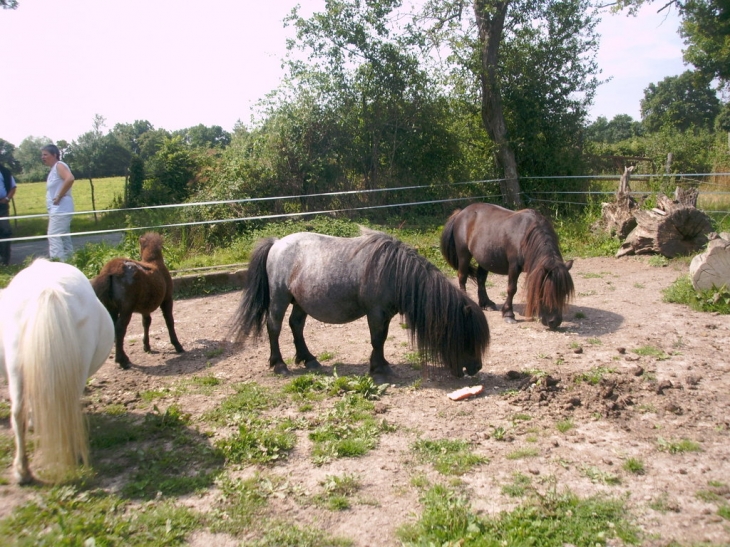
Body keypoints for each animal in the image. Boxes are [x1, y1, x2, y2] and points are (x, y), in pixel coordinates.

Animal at [91, 231, 182, 368]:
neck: (154, 262)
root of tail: (109, 271)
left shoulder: (145, 307)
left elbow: (146, 322)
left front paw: (147, 346)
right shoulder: (167, 300)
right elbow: (169, 321)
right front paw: (177, 345)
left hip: (111, 308)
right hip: (126, 309)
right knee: (120, 330)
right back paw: (122, 360)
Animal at [440, 202, 572, 328]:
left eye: (564, 292)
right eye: (547, 293)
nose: (555, 322)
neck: (526, 236)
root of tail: (461, 212)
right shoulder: (514, 267)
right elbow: (512, 289)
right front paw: (509, 314)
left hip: (485, 258)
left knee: (481, 279)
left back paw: (486, 303)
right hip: (464, 255)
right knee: (462, 277)